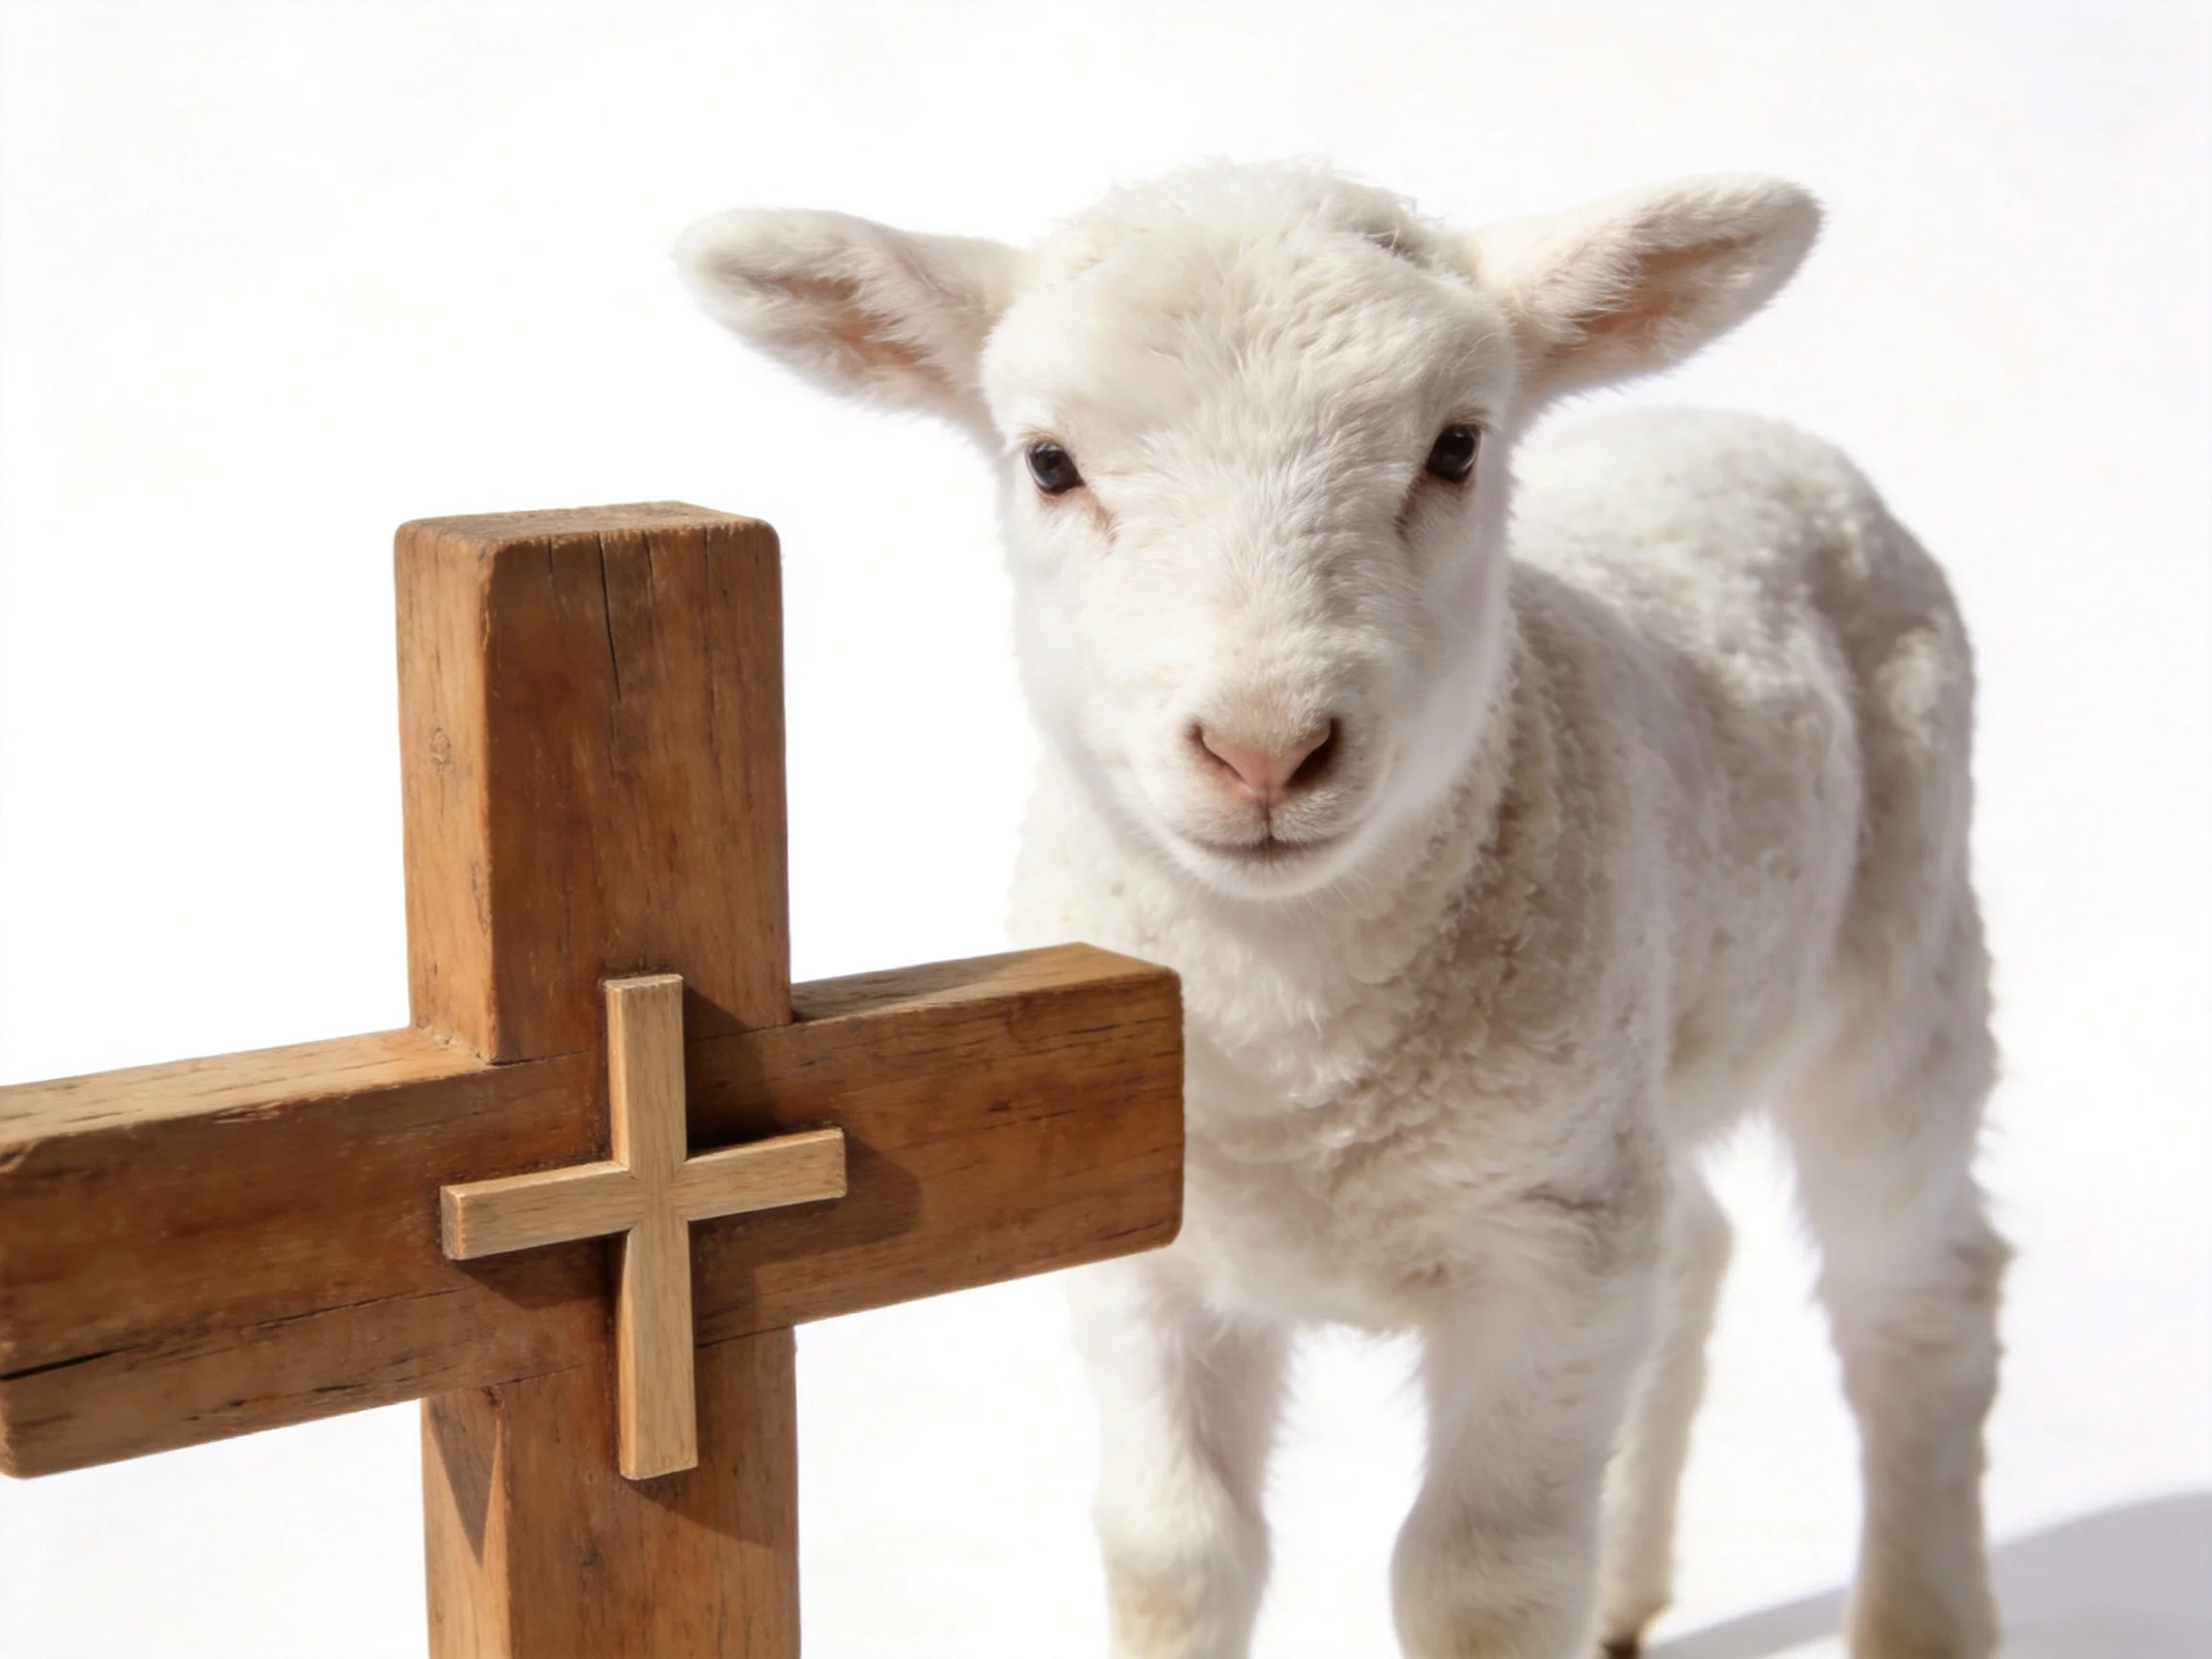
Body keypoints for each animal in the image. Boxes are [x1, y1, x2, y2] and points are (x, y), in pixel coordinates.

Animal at [675, 162, 2007, 1659]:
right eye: (1049, 463)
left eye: (1457, 448)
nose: (1264, 752)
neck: (1294, 1038)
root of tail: (1747, 425)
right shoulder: (1147, 1254)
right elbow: (1173, 1551)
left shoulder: (1549, 1251)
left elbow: (1483, 1580)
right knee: (1699, 1253)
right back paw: (1628, 1588)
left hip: (1902, 954)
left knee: (1916, 1305)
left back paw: (1918, 1614)